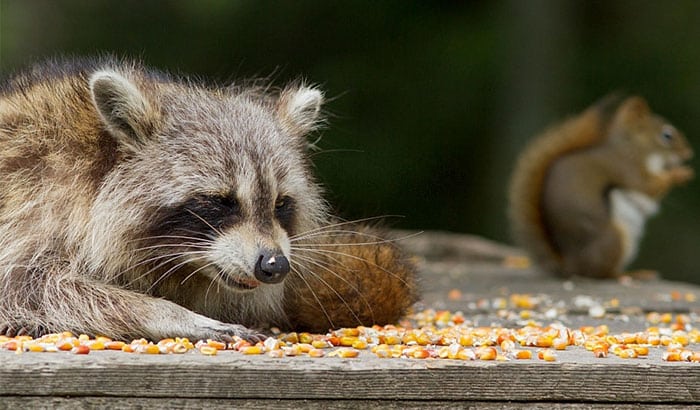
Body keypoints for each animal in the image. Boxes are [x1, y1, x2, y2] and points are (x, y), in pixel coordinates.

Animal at [0, 56, 418, 342]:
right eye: (221, 201)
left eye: (280, 204)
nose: (275, 266)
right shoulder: (34, 203)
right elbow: (28, 287)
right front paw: (166, 313)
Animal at [508, 94, 696, 278]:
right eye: (667, 135)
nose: (689, 153)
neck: (632, 147)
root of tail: (572, 265)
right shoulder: (626, 168)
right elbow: (647, 186)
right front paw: (679, 173)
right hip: (613, 239)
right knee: (603, 273)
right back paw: (630, 274)